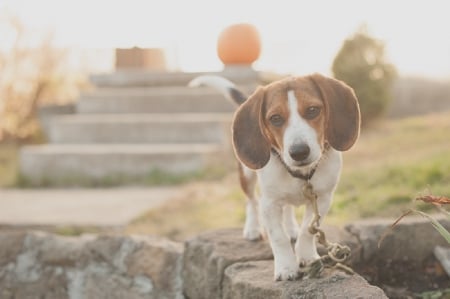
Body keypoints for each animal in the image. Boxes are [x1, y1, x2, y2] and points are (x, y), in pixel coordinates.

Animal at [188, 74, 360, 282]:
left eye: (312, 110)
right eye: (275, 118)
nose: (299, 152)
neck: (302, 174)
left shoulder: (323, 198)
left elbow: (307, 231)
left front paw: (307, 256)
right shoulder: (269, 203)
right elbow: (278, 237)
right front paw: (286, 267)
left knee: (287, 209)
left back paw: (291, 228)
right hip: (247, 176)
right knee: (251, 201)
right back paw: (253, 229)